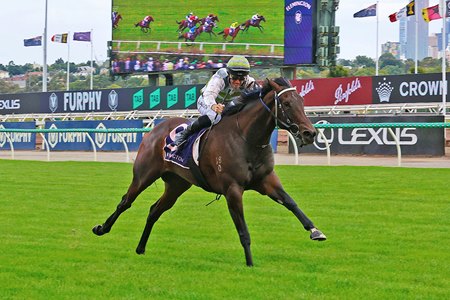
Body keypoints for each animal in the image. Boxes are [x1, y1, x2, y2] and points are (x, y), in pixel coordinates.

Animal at [93, 78, 326, 268]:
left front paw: (316, 231)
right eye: (286, 103)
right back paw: (102, 228)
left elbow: (291, 203)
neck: (246, 138)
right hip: (144, 175)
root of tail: (154, 130)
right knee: (125, 202)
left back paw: (140, 248)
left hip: (177, 185)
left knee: (154, 211)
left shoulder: (267, 180)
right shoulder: (232, 189)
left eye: (302, 102)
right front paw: (250, 263)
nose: (310, 133)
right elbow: (243, 230)